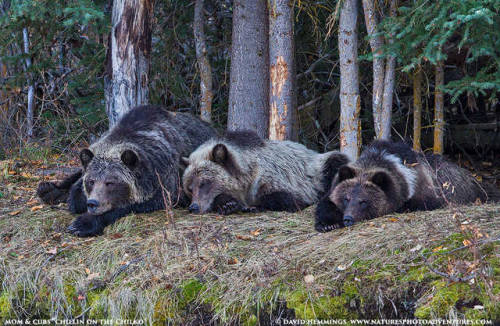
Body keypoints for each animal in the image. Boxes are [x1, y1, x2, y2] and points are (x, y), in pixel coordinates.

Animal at [38, 106, 218, 237]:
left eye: (110, 182)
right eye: (91, 181)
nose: (93, 203)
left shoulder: (164, 178)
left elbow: (134, 205)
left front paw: (82, 224)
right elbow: (76, 194)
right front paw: (71, 197)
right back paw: (48, 190)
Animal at [182, 129, 350, 215]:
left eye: (204, 183)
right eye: (190, 188)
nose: (193, 207)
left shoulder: (279, 179)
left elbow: (285, 199)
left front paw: (250, 206)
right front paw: (227, 204)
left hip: (320, 168)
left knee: (336, 163)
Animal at [316, 140, 500, 232]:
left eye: (363, 201)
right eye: (346, 198)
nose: (348, 218)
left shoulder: (424, 188)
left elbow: (422, 202)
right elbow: (325, 203)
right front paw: (327, 224)